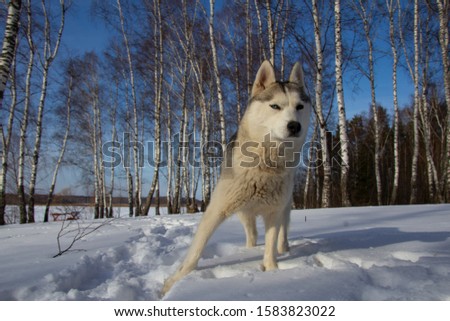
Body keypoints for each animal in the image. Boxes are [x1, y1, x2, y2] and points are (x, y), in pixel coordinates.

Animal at [163, 60, 312, 296]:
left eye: (299, 107)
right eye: (275, 107)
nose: (294, 126)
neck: (265, 166)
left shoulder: (274, 212)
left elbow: (270, 244)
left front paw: (272, 271)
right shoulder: (216, 209)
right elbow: (196, 251)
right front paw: (174, 282)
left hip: (284, 206)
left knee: (282, 232)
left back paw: (284, 248)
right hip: (244, 213)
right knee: (252, 235)